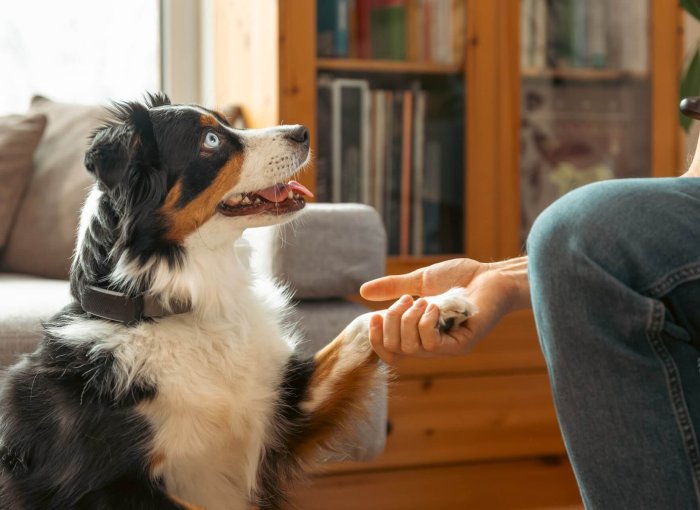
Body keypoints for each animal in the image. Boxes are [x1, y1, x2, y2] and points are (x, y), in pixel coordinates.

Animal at [0, 92, 476, 510]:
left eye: (226, 121)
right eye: (211, 140)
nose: (302, 132)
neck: (186, 311)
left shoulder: (284, 408)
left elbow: (359, 328)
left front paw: (435, 305)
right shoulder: (99, 488)